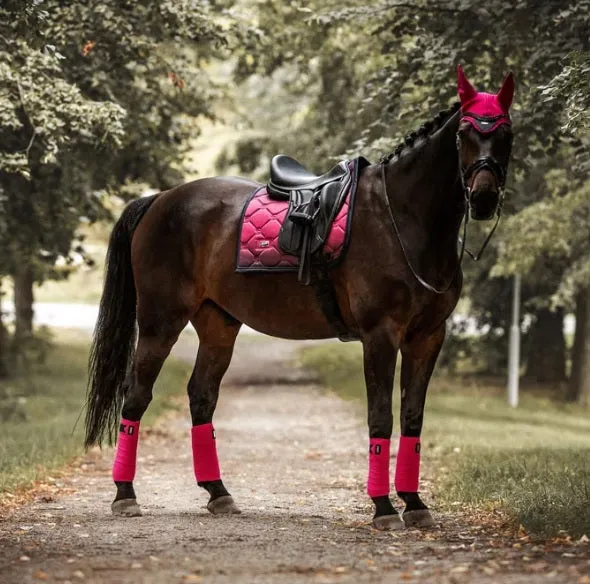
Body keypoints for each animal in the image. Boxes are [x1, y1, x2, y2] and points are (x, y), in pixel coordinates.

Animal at [85, 67, 516, 528]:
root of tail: (160, 200)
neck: (401, 218)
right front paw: (383, 507)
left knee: (201, 396)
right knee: (136, 396)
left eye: (505, 132)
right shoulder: (380, 335)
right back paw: (125, 494)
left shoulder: (428, 336)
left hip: (218, 324)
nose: (484, 197)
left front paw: (414, 503)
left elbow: (413, 417)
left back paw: (218, 492)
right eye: (465, 133)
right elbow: (380, 417)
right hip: (159, 322)